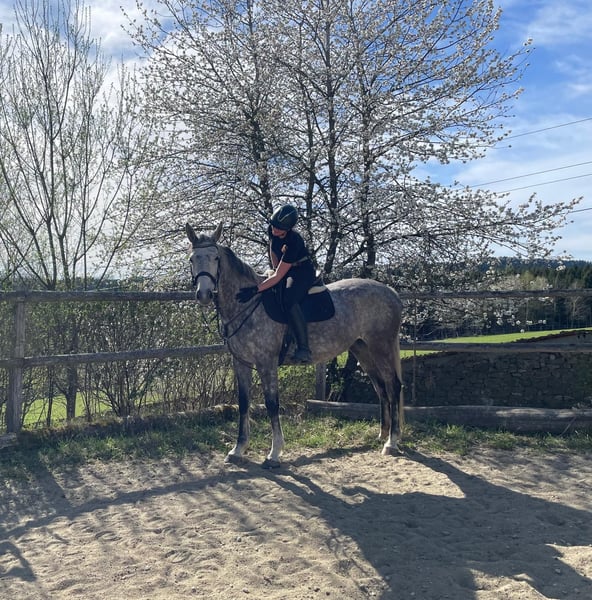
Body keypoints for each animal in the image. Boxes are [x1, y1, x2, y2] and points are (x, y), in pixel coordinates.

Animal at [186, 222, 404, 467]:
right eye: (192, 259)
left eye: (215, 258)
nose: (204, 294)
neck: (247, 302)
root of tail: (391, 292)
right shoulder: (240, 362)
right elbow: (243, 403)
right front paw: (238, 449)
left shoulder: (266, 363)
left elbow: (272, 404)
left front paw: (274, 453)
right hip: (362, 349)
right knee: (380, 387)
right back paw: (382, 434)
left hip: (381, 347)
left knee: (393, 386)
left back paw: (392, 442)